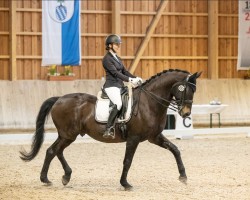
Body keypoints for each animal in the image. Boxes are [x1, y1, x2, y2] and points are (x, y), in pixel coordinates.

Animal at [20, 69, 202, 190]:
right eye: (185, 89)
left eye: (194, 90)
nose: (186, 114)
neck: (149, 103)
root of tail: (59, 99)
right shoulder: (134, 138)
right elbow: (127, 161)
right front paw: (125, 183)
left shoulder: (155, 137)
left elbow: (175, 149)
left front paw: (183, 176)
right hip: (68, 135)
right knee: (53, 151)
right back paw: (46, 179)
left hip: (67, 135)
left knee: (55, 151)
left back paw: (64, 177)